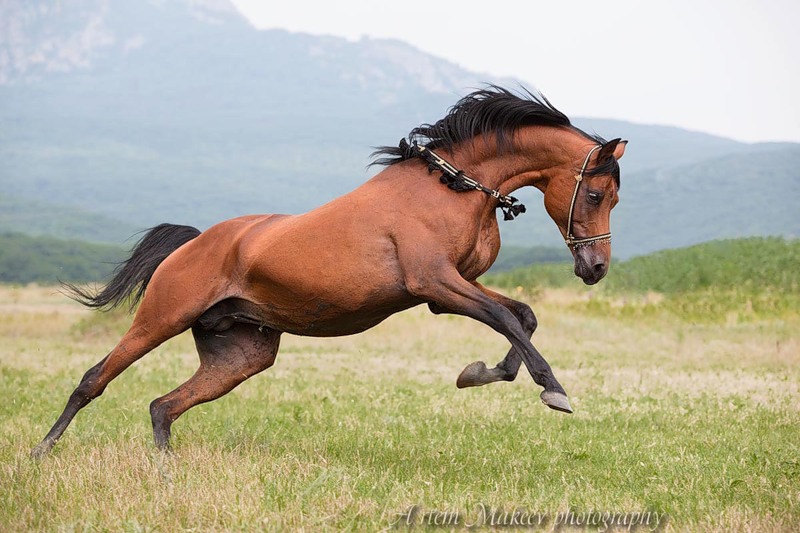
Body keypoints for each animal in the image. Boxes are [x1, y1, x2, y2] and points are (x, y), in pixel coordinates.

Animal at [31, 85, 628, 456]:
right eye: (596, 194)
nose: (596, 267)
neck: (453, 189)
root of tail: (195, 244)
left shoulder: (452, 290)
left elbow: (523, 317)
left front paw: (481, 373)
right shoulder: (436, 284)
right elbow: (508, 322)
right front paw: (553, 390)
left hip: (242, 355)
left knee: (163, 407)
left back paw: (165, 472)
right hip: (160, 320)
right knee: (93, 381)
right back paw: (42, 451)